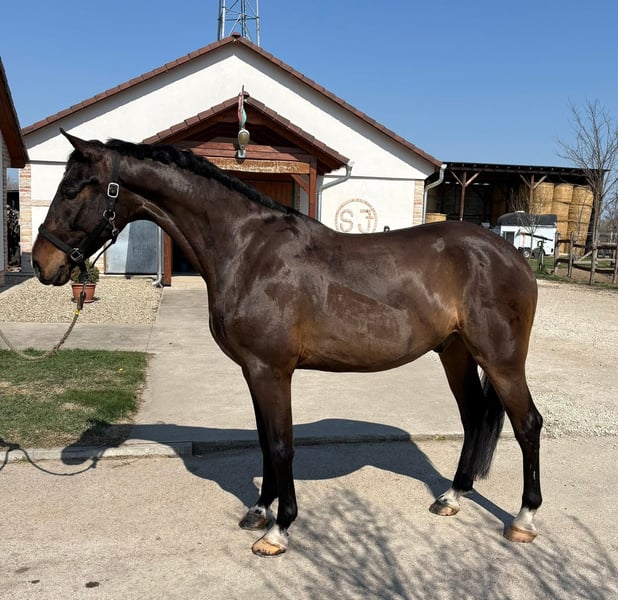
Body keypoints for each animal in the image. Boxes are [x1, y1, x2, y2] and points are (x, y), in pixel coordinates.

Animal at [32, 130, 543, 557]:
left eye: (75, 188)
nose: (41, 263)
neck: (246, 250)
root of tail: (512, 253)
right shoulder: (253, 371)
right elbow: (264, 440)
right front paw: (259, 511)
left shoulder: (271, 369)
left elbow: (281, 445)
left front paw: (279, 529)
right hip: (455, 353)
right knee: (474, 419)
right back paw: (452, 496)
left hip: (501, 360)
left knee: (527, 425)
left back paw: (523, 519)